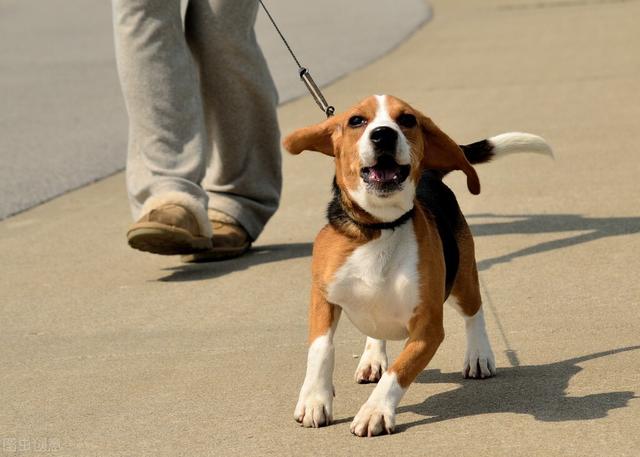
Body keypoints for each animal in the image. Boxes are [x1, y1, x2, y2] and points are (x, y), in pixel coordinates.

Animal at [282, 94, 552, 436]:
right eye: (356, 120)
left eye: (407, 120)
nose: (383, 134)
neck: (379, 228)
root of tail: (430, 175)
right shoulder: (322, 298)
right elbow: (321, 349)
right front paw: (315, 399)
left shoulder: (428, 328)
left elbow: (399, 371)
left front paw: (374, 411)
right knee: (376, 331)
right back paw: (372, 357)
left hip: (463, 279)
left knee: (475, 312)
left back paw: (479, 355)